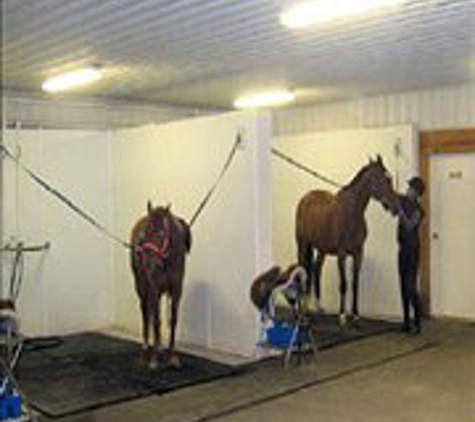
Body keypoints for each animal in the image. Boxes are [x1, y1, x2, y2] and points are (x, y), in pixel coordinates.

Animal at [130, 203, 192, 368]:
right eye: (144, 234)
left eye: (161, 234)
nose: (148, 264)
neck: (167, 260)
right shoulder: (153, 287)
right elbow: (156, 321)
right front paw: (154, 360)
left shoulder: (176, 290)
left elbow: (173, 320)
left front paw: (172, 356)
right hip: (141, 287)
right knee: (146, 313)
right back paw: (146, 348)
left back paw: (158, 347)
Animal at [298, 157, 402, 324]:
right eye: (383, 179)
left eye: (390, 179)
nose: (395, 208)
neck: (352, 213)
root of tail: (306, 198)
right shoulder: (342, 254)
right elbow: (344, 284)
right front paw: (342, 315)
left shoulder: (358, 253)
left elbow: (355, 283)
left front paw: (355, 314)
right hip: (302, 244)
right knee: (303, 271)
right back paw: (303, 314)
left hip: (321, 249)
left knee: (316, 269)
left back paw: (318, 307)